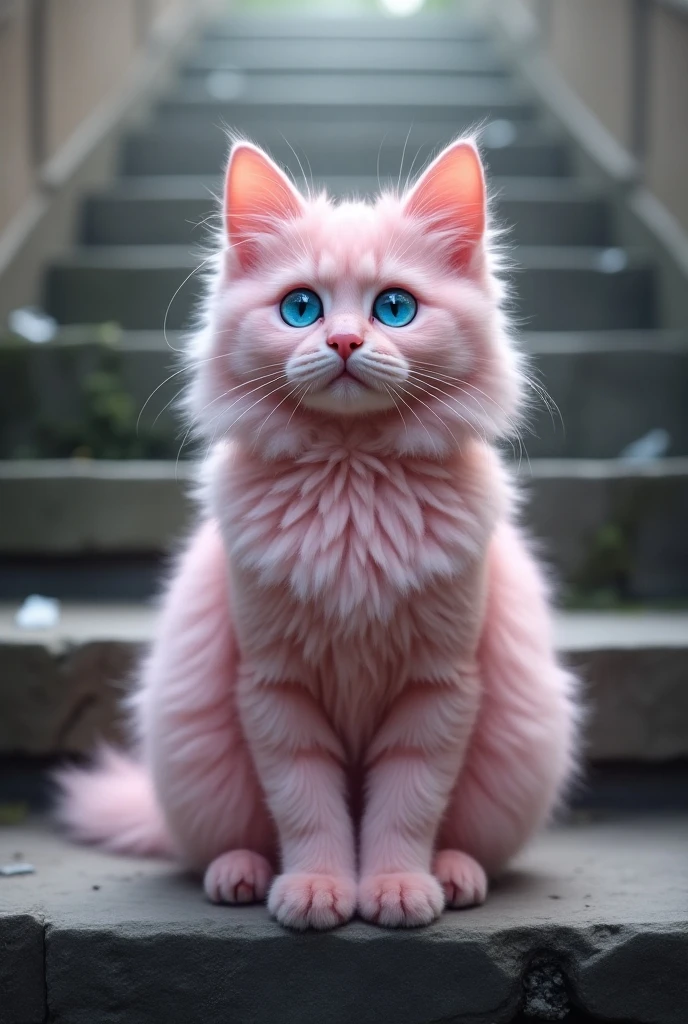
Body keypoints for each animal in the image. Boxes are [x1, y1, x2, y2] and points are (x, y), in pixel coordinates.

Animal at [56, 140, 577, 933]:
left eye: (395, 307)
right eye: (301, 308)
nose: (343, 340)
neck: (350, 475)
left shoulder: (438, 688)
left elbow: (405, 807)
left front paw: (395, 888)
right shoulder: (276, 687)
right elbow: (308, 809)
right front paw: (318, 890)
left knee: (463, 841)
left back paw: (454, 875)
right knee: (228, 842)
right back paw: (240, 874)